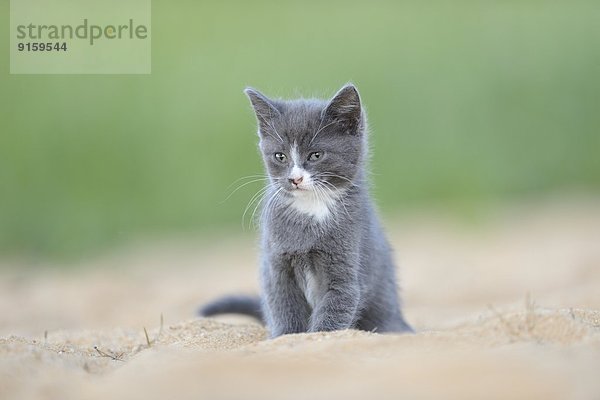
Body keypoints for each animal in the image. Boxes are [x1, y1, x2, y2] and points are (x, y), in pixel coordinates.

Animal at [202, 84, 412, 338]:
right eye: (280, 156)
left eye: (316, 155)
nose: (295, 178)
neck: (310, 209)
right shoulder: (276, 264)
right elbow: (284, 306)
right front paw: (284, 337)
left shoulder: (346, 264)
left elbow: (336, 307)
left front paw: (320, 335)